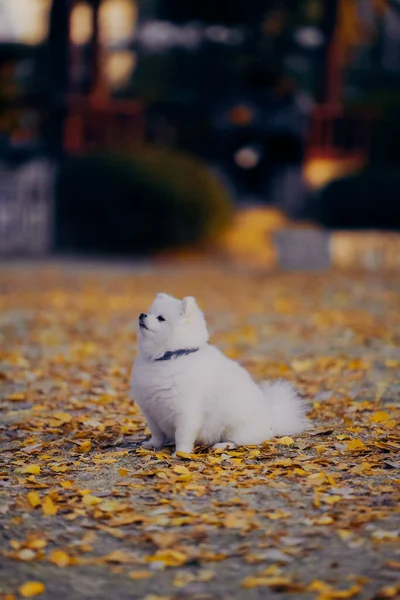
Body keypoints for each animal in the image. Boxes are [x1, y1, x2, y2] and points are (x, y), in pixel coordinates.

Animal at [130, 292, 308, 454]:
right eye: (150, 312)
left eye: (161, 318)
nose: (142, 314)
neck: (169, 357)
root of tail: (270, 420)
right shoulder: (151, 411)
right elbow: (157, 433)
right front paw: (152, 445)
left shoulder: (186, 411)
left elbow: (182, 435)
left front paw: (180, 453)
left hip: (235, 424)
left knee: (240, 441)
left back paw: (222, 445)